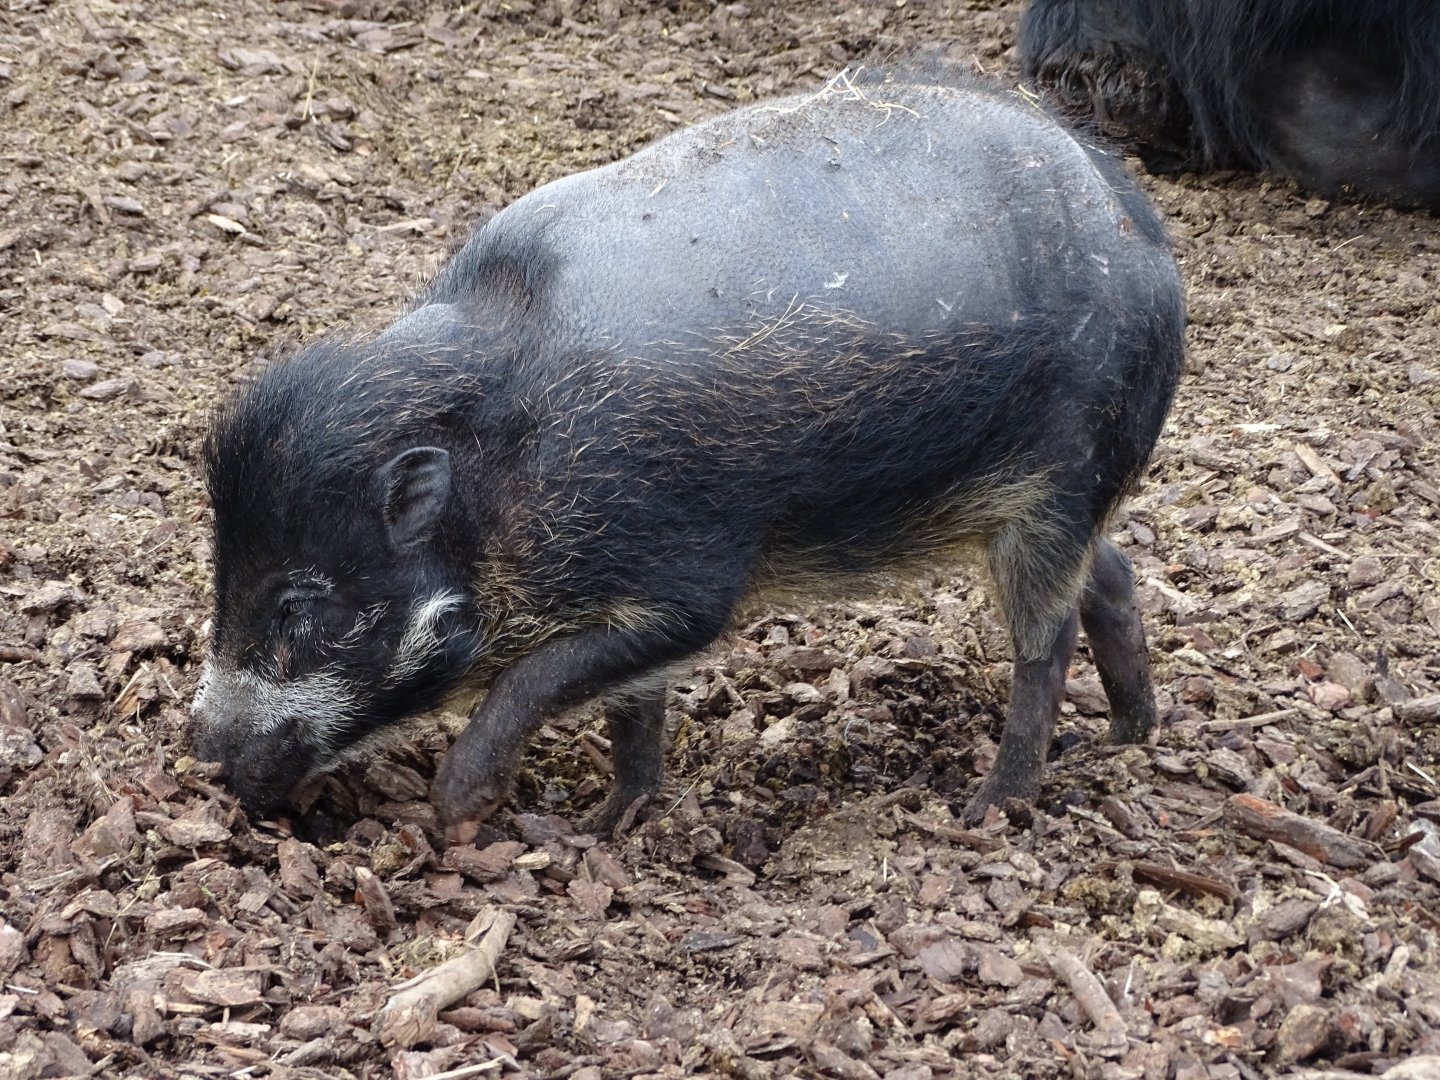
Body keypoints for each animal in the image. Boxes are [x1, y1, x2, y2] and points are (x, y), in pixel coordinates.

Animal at [190, 64, 1185, 840]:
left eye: (297, 604)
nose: (203, 754)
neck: (514, 468)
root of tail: (1134, 222)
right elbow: (635, 714)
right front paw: (608, 824)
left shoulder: (691, 586)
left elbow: (540, 678)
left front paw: (461, 806)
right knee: (1115, 574)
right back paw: (1126, 737)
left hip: (1061, 486)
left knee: (1045, 641)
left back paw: (991, 808)